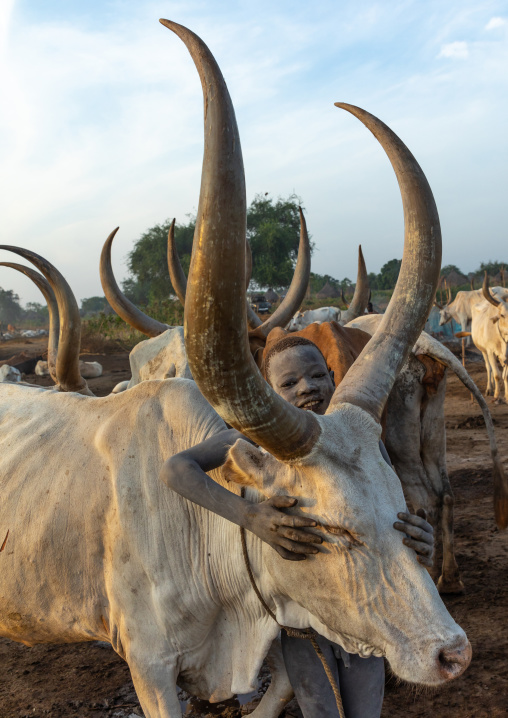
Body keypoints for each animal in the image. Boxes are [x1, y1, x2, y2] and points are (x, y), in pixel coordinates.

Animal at [0, 19, 476, 718]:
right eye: (332, 530)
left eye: (397, 510)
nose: (452, 654)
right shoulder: (150, 667)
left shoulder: (278, 636)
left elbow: (285, 686)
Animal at [470, 274, 508, 403]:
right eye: (502, 315)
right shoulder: (491, 351)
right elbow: (496, 375)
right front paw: (497, 396)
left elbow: (506, 375)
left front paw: (507, 396)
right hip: (483, 351)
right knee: (489, 368)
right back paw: (489, 390)